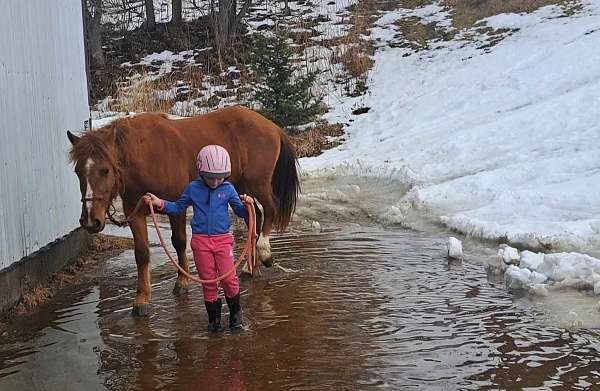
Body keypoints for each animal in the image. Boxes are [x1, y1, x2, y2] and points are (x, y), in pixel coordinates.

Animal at [68, 105, 300, 316]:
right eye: (78, 171)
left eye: (105, 170)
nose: (90, 220)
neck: (145, 153)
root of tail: (272, 126)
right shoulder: (135, 211)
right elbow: (141, 254)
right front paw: (142, 299)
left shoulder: (176, 206)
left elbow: (179, 242)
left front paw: (182, 282)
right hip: (242, 186)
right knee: (255, 215)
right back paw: (250, 268)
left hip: (258, 183)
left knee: (270, 209)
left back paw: (265, 253)